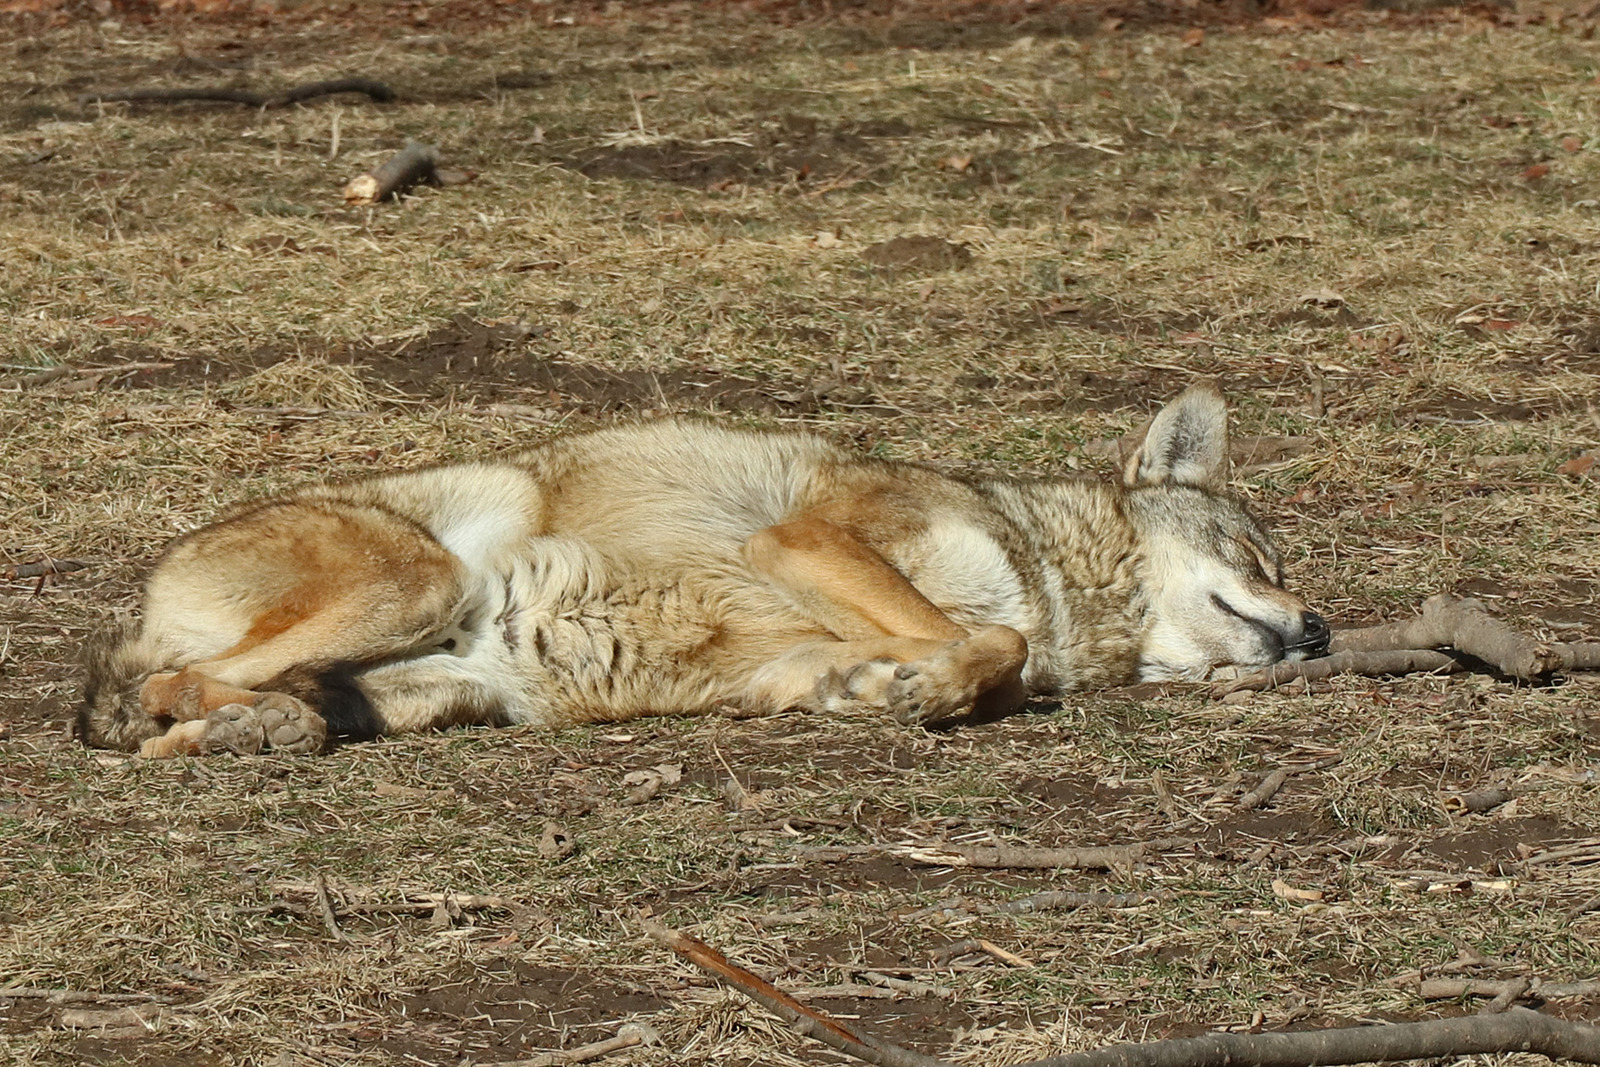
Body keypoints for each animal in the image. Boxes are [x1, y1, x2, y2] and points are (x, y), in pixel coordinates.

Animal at [78, 381, 1328, 758]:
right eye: (1261, 558)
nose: (1316, 629)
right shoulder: (811, 539)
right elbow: (993, 641)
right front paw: (933, 678)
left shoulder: (777, 669)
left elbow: (977, 656)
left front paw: (892, 688)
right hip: (421, 582)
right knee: (159, 686)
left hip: (453, 686)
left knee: (217, 705)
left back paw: (252, 730)